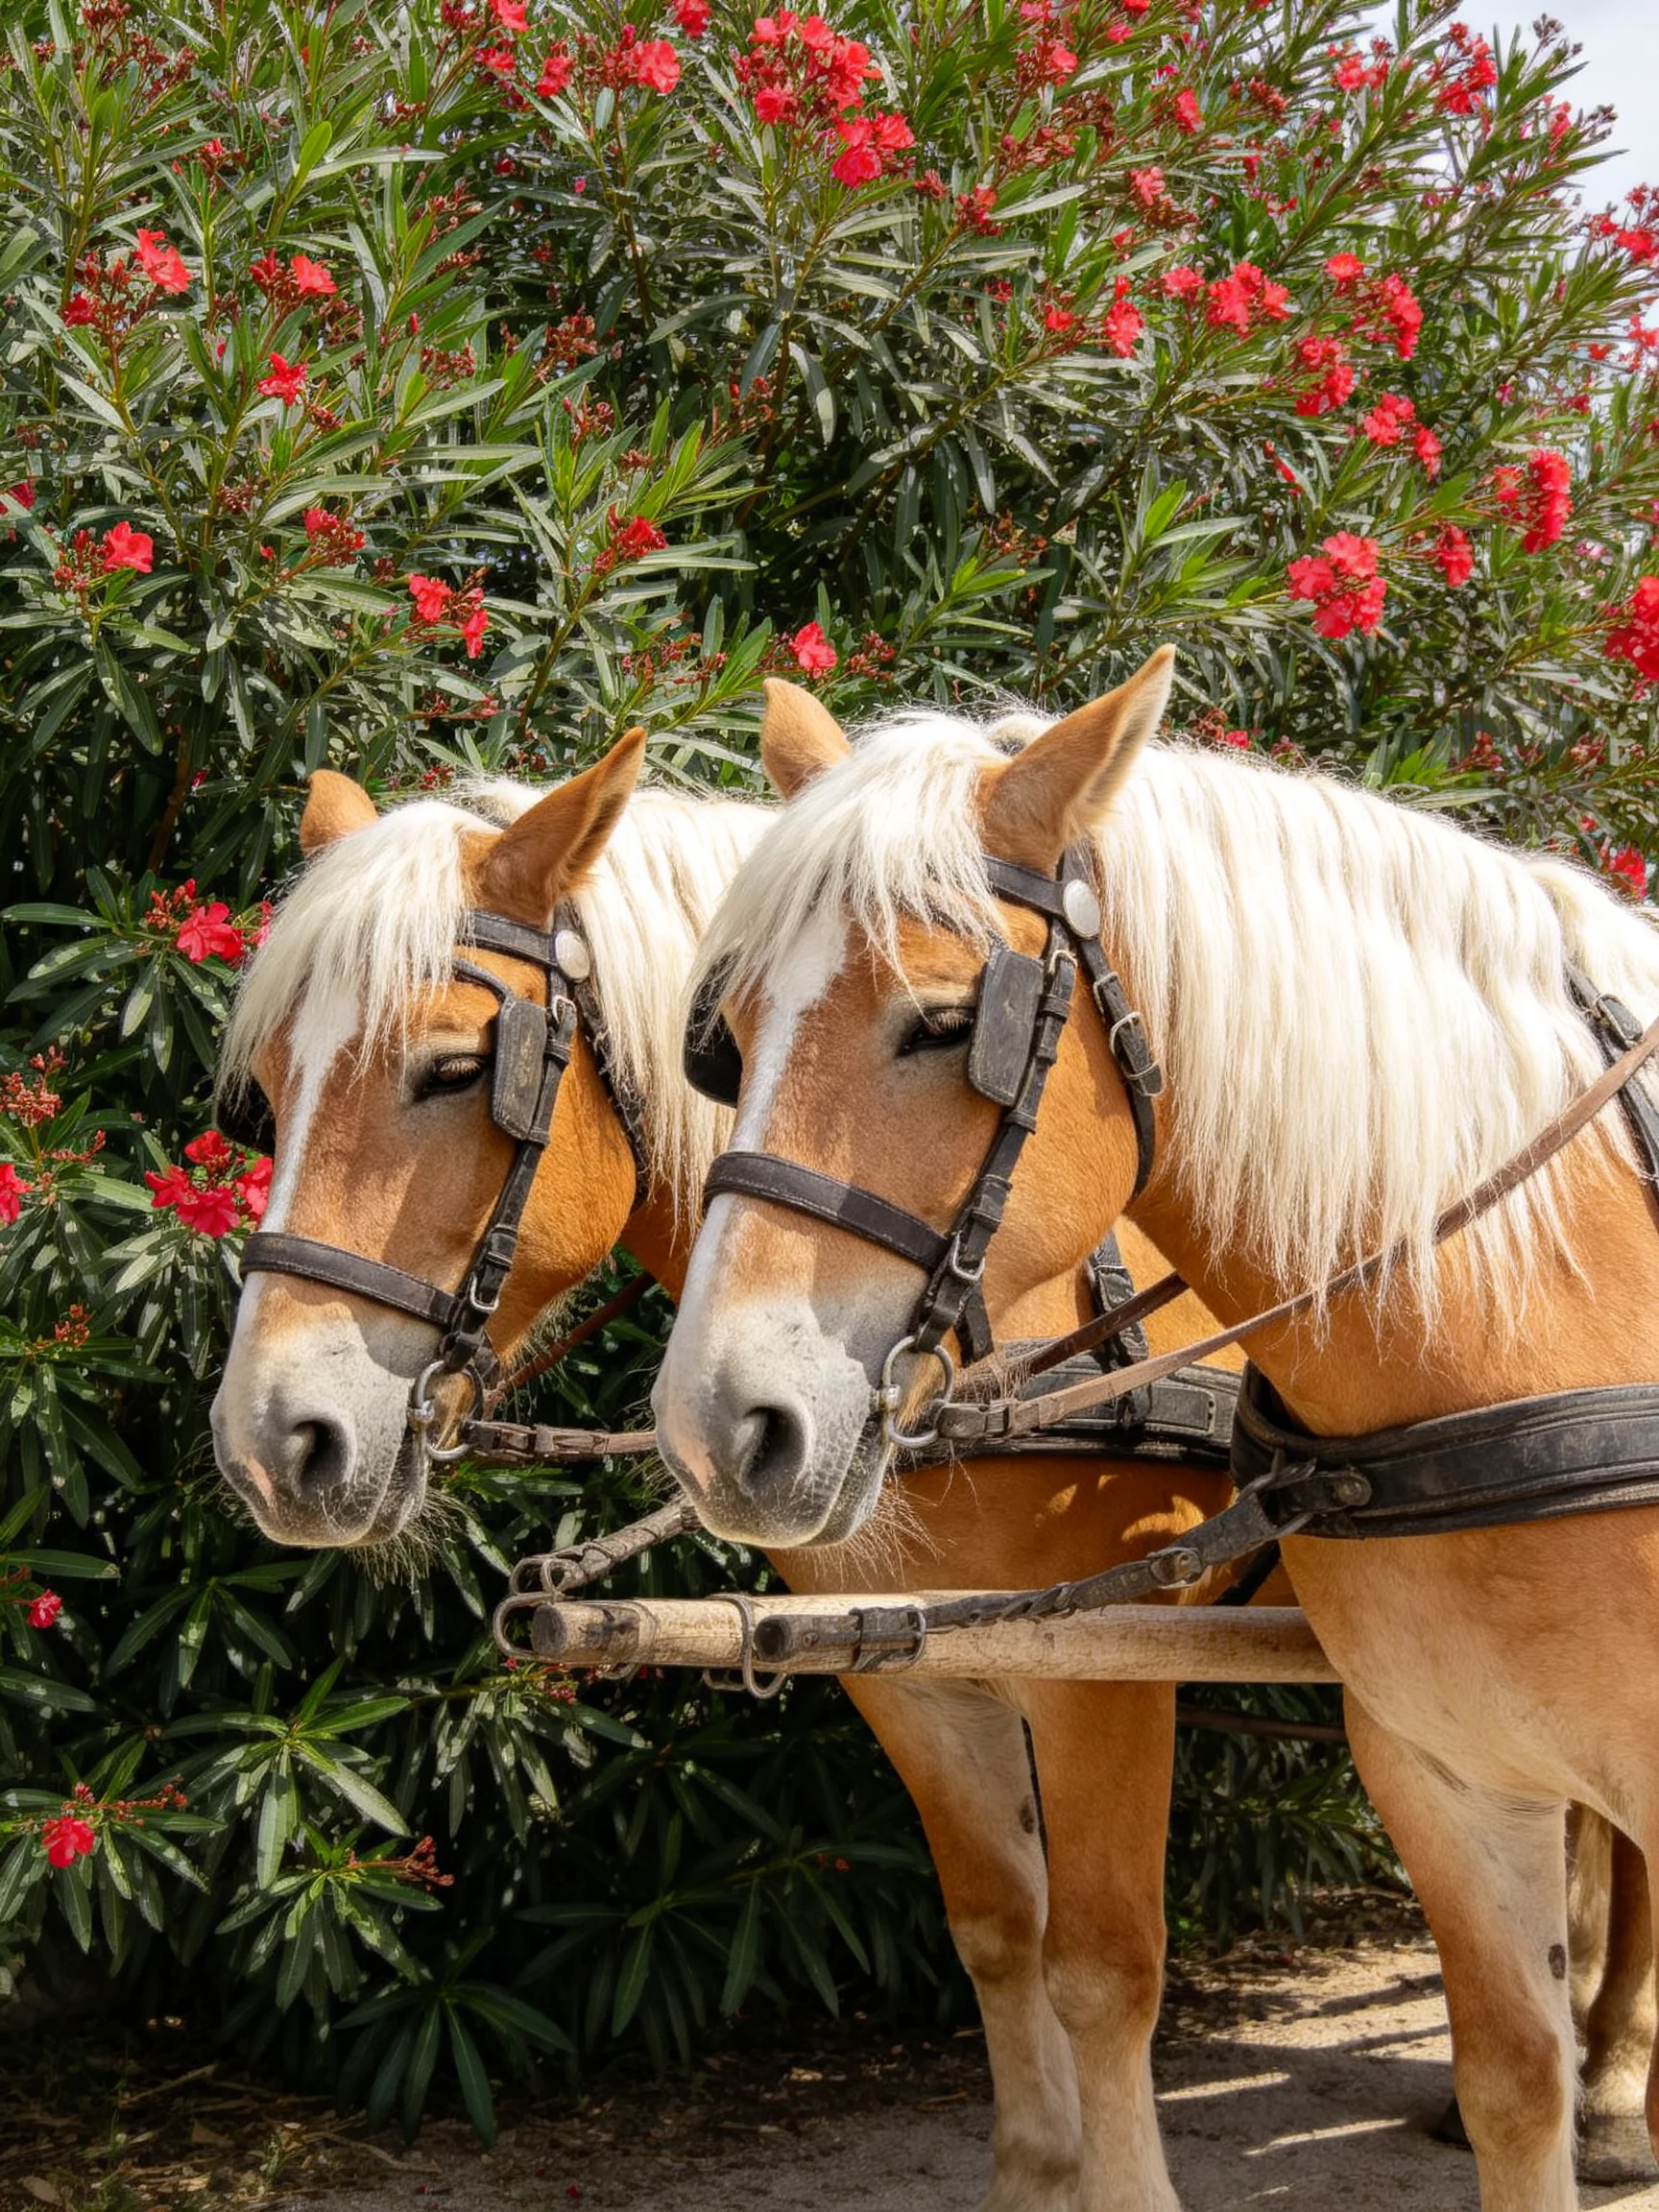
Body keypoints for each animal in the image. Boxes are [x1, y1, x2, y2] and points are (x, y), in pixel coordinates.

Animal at [210, 738, 1282, 2212]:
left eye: (454, 1067)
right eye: (265, 1090)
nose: (276, 1444)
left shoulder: (1105, 1661)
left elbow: (1103, 1968)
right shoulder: (911, 1661)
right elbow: (998, 1931)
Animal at [650, 655, 1659, 2210]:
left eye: (944, 1024)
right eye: (728, 1042)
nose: (718, 1423)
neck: (1550, 1302)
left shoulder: (1101, 1660)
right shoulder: (1447, 1772)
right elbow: (1508, 2090)